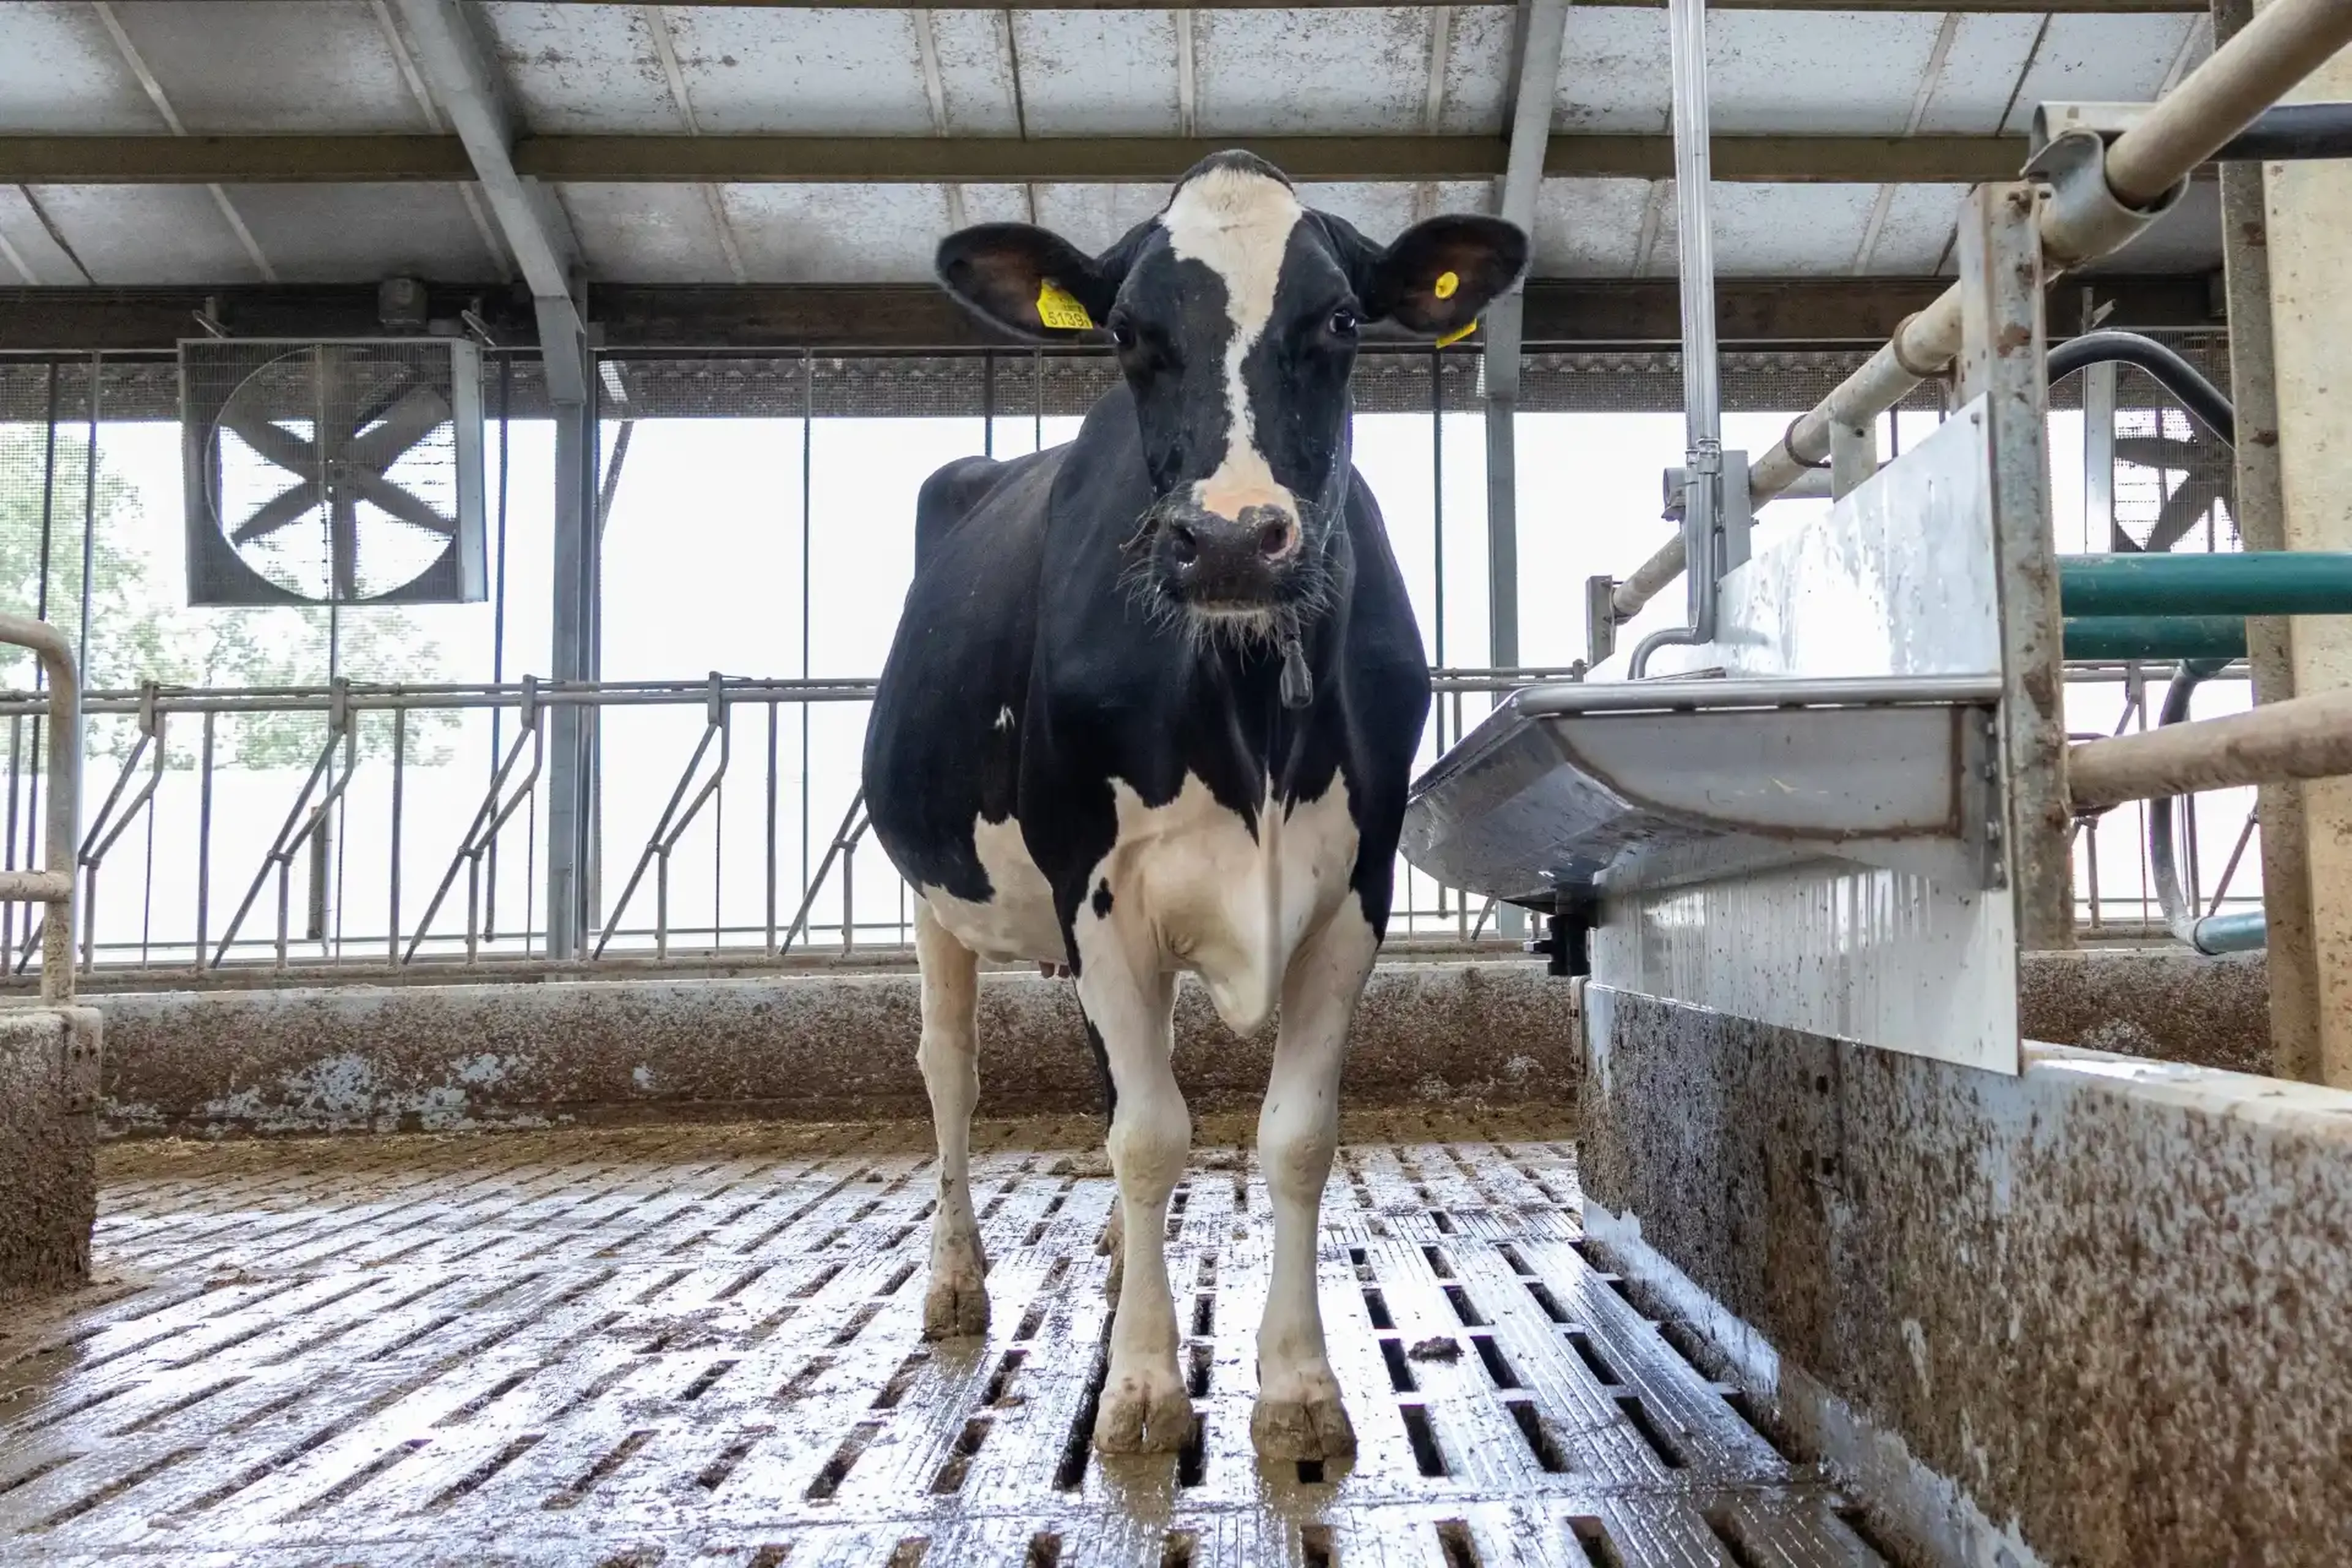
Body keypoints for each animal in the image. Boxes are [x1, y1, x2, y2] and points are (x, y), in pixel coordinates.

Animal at [863, 150, 1526, 1462]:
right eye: (1127, 332)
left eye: (1340, 319)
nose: (1228, 541)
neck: (1244, 702)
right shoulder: (1096, 888)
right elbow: (1151, 1135)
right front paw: (1142, 1392)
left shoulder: (1354, 895)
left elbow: (1292, 1134)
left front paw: (1299, 1388)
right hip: (936, 895)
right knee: (952, 1068)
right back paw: (957, 1278)